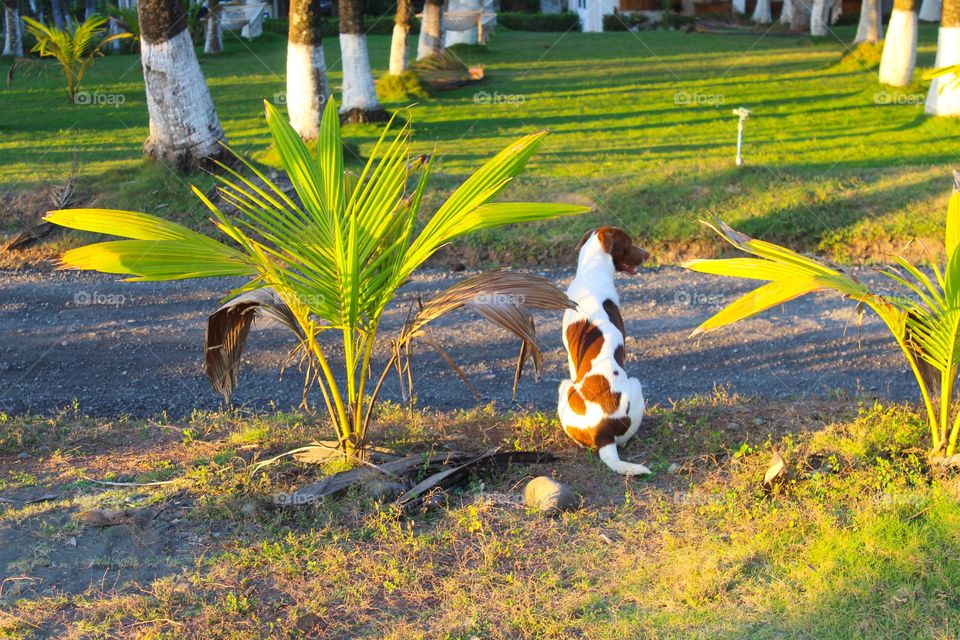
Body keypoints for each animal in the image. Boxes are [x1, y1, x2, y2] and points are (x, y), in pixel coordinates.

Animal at [556, 226, 652, 476]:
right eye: (629, 243)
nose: (647, 254)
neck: (592, 272)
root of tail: (603, 432)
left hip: (565, 387)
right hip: (635, 385)